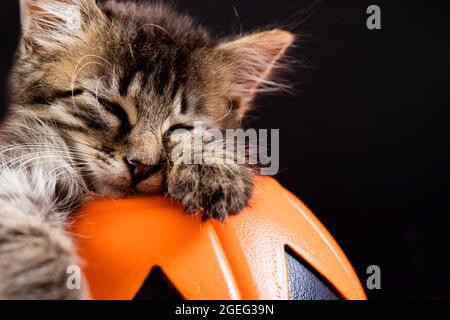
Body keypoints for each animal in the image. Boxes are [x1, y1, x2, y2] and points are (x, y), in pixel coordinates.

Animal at [0, 0, 294, 300]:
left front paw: (213, 168)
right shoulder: (19, 169)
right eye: (109, 106)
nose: (140, 166)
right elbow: (30, 240)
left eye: (181, 128)